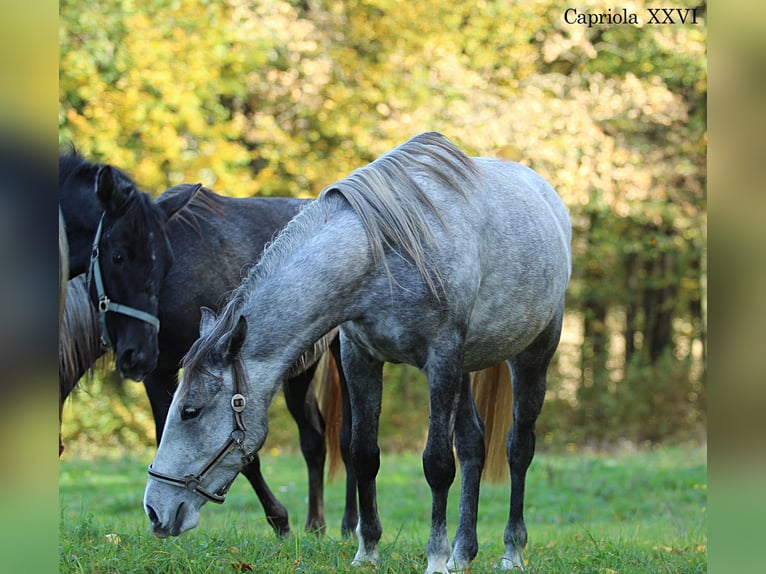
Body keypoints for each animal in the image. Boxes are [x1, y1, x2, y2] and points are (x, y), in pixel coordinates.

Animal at [59, 178, 356, 536]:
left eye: (121, 257)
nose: (135, 354)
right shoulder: (162, 373)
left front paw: (279, 520)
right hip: (299, 371)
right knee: (313, 439)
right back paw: (315, 525)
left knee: (347, 434)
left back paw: (348, 523)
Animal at [146, 133, 576, 572]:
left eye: (190, 411)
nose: (155, 511)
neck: (385, 255)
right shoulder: (361, 358)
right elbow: (364, 453)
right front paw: (367, 550)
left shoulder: (440, 361)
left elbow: (438, 464)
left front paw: (435, 556)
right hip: (466, 369)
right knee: (474, 444)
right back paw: (463, 552)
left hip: (532, 354)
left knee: (518, 448)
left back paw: (511, 550)